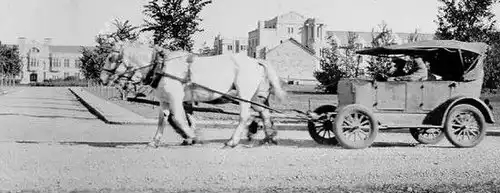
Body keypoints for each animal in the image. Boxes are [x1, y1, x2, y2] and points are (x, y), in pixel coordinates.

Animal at [98, 41, 286, 147]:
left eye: (110, 58)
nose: (102, 78)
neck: (161, 66)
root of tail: (256, 60)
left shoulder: (175, 98)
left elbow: (180, 119)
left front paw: (193, 137)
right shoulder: (165, 100)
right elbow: (163, 120)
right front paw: (154, 141)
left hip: (244, 94)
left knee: (245, 116)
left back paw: (233, 141)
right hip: (255, 96)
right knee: (264, 112)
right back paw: (270, 136)